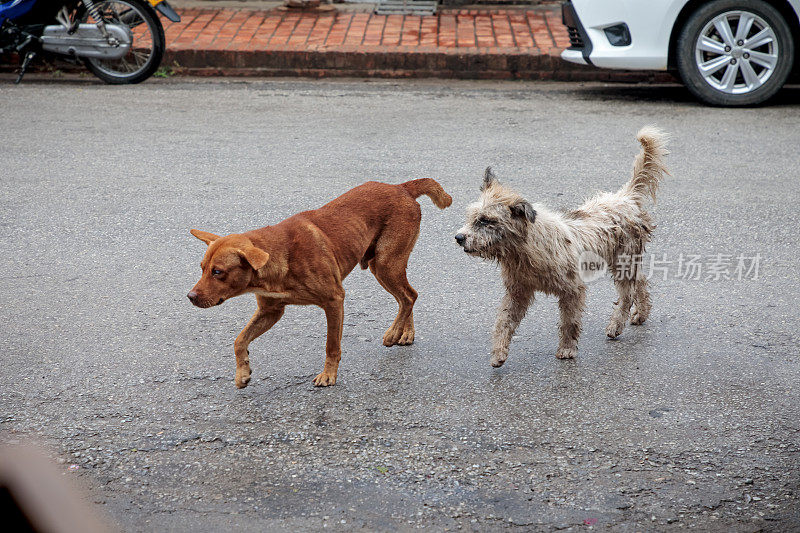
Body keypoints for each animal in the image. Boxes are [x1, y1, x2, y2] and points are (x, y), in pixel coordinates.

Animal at [186, 179, 450, 386]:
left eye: (218, 272)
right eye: (202, 269)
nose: (190, 297)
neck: (283, 257)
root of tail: (401, 187)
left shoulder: (334, 301)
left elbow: (331, 345)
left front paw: (328, 376)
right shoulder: (271, 311)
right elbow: (239, 340)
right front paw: (242, 373)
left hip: (386, 264)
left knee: (408, 296)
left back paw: (394, 332)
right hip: (384, 266)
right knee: (408, 296)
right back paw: (406, 333)